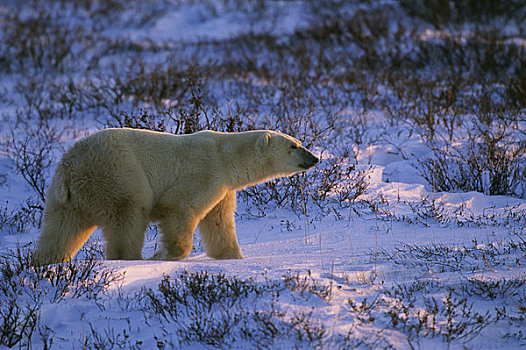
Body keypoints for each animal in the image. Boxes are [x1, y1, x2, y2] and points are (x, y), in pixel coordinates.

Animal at [34, 128, 322, 262]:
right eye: (294, 145)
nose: (314, 158)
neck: (225, 156)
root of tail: (70, 170)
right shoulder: (204, 172)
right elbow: (181, 208)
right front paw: (165, 255)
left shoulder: (222, 189)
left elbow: (219, 223)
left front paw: (233, 258)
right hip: (118, 174)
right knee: (129, 215)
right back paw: (132, 258)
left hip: (65, 198)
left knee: (60, 231)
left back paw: (46, 262)